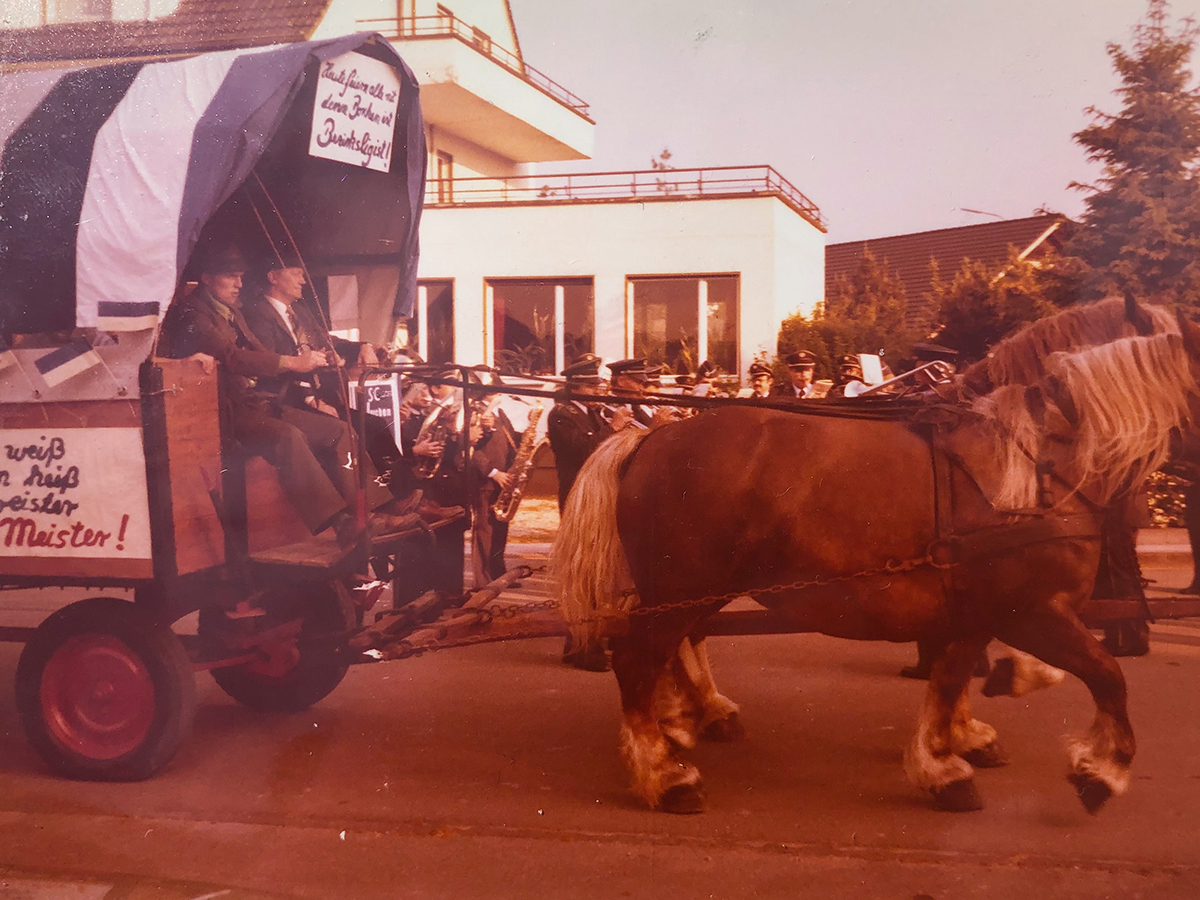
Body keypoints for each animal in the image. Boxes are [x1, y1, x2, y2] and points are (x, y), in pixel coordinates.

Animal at [552, 321, 1200, 815]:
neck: (1031, 468)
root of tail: (648, 439)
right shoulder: (1030, 610)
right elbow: (1105, 676)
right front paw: (1102, 771)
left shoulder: (979, 609)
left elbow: (953, 677)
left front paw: (950, 754)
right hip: (684, 586)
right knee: (637, 660)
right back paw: (666, 774)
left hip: (688, 591)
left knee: (671, 648)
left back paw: (688, 723)